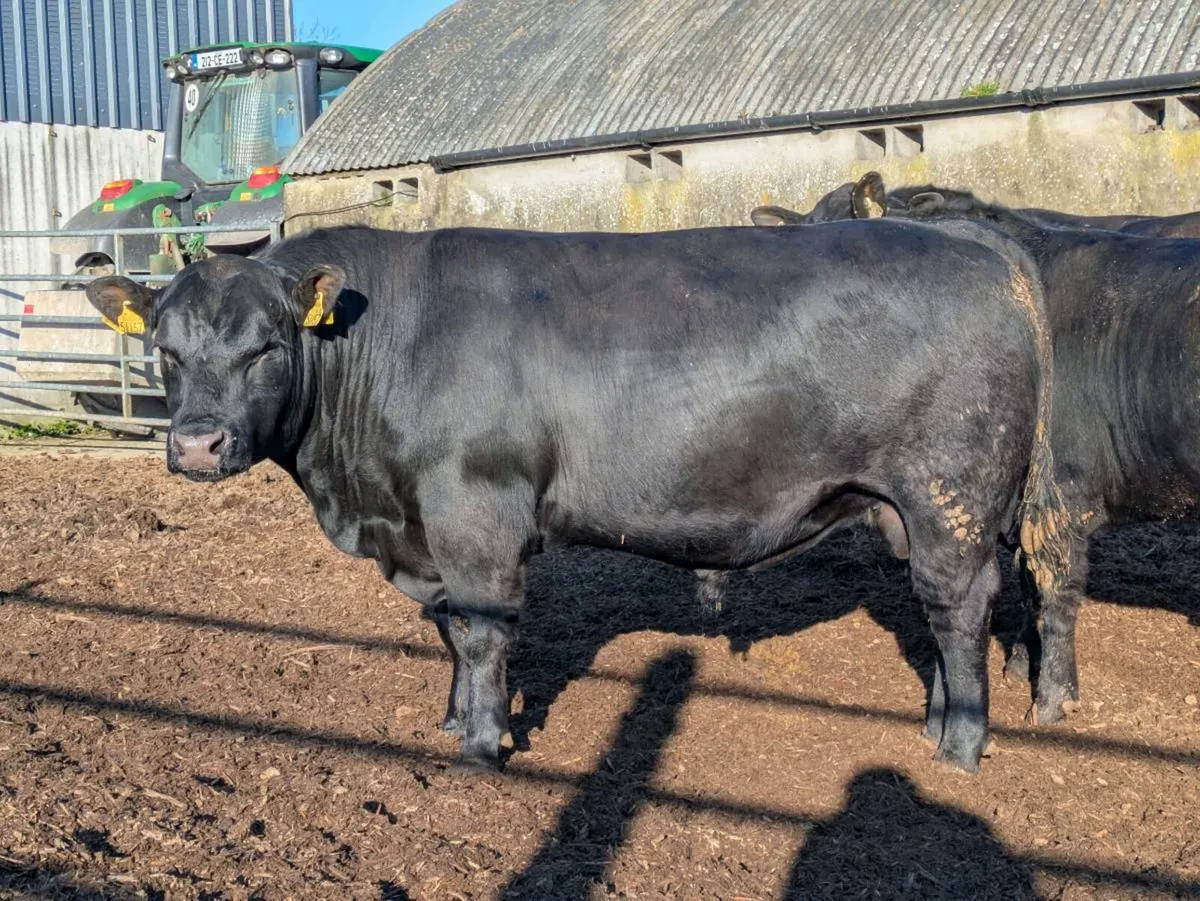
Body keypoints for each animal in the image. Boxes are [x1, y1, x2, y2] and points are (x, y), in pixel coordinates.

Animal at [84, 221, 1069, 773]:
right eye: (165, 348)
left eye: (265, 346)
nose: (196, 444)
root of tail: (978, 238)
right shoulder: (428, 528)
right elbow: (451, 628)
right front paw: (451, 720)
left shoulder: (474, 511)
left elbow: (483, 628)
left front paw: (483, 746)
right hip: (913, 511)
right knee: (943, 614)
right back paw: (935, 721)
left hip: (951, 498)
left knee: (959, 608)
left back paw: (960, 747)